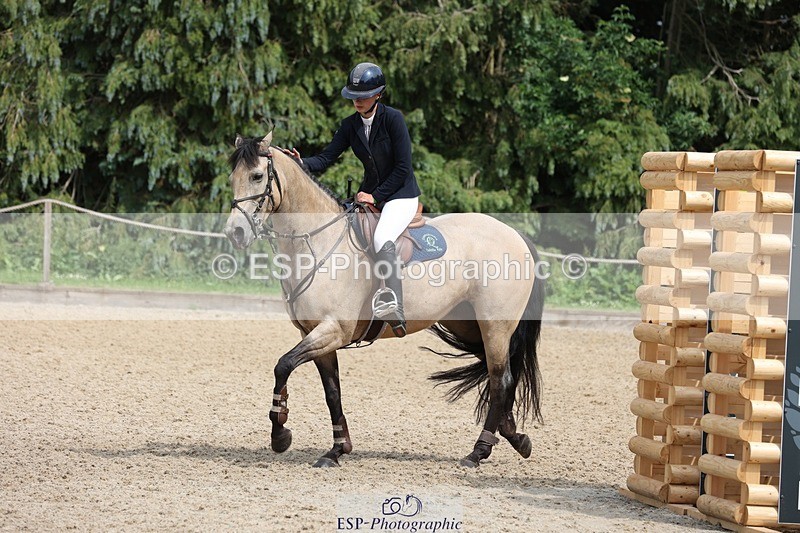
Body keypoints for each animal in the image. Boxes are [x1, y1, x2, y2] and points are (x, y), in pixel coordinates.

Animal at [223, 132, 545, 468]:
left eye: (257, 176)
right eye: (232, 178)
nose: (235, 232)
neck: (318, 243)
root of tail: (515, 234)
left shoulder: (333, 330)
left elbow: (283, 366)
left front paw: (280, 434)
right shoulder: (314, 334)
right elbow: (332, 392)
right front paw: (337, 449)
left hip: (496, 327)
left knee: (500, 380)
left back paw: (479, 450)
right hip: (469, 324)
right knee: (500, 377)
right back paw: (516, 438)